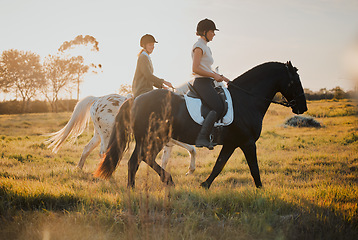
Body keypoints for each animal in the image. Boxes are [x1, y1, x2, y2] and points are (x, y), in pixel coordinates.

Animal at [46, 90, 197, 174]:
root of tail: (97, 99)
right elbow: (192, 149)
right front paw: (190, 170)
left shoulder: (169, 142)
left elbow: (166, 159)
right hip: (108, 134)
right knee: (104, 153)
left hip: (99, 135)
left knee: (87, 149)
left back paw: (79, 169)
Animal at [95, 61, 308, 188]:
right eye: (296, 80)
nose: (303, 107)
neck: (246, 100)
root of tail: (136, 100)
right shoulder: (248, 143)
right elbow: (254, 168)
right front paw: (261, 190)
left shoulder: (232, 143)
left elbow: (219, 165)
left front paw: (205, 185)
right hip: (154, 137)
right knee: (142, 158)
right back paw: (165, 180)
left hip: (150, 138)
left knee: (136, 160)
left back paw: (136, 187)